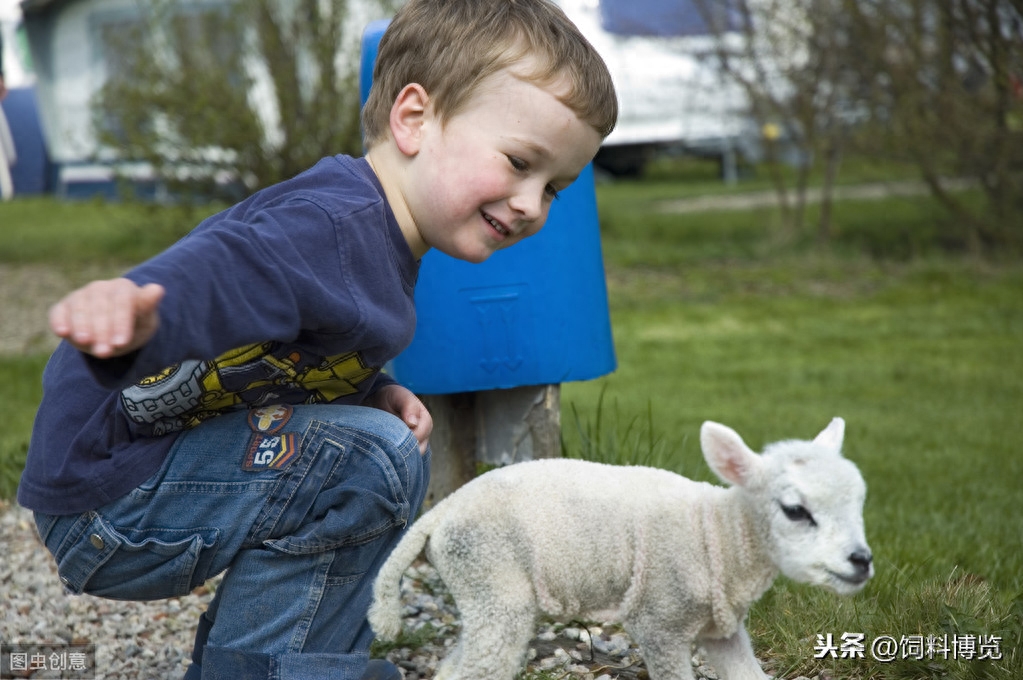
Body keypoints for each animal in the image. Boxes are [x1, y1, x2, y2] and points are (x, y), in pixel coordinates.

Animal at [372, 417, 875, 674]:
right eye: (796, 510)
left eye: (859, 501)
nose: (862, 561)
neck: (718, 534)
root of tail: (441, 511)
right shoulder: (659, 622)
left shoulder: (724, 631)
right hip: (490, 575)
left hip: (488, 596)